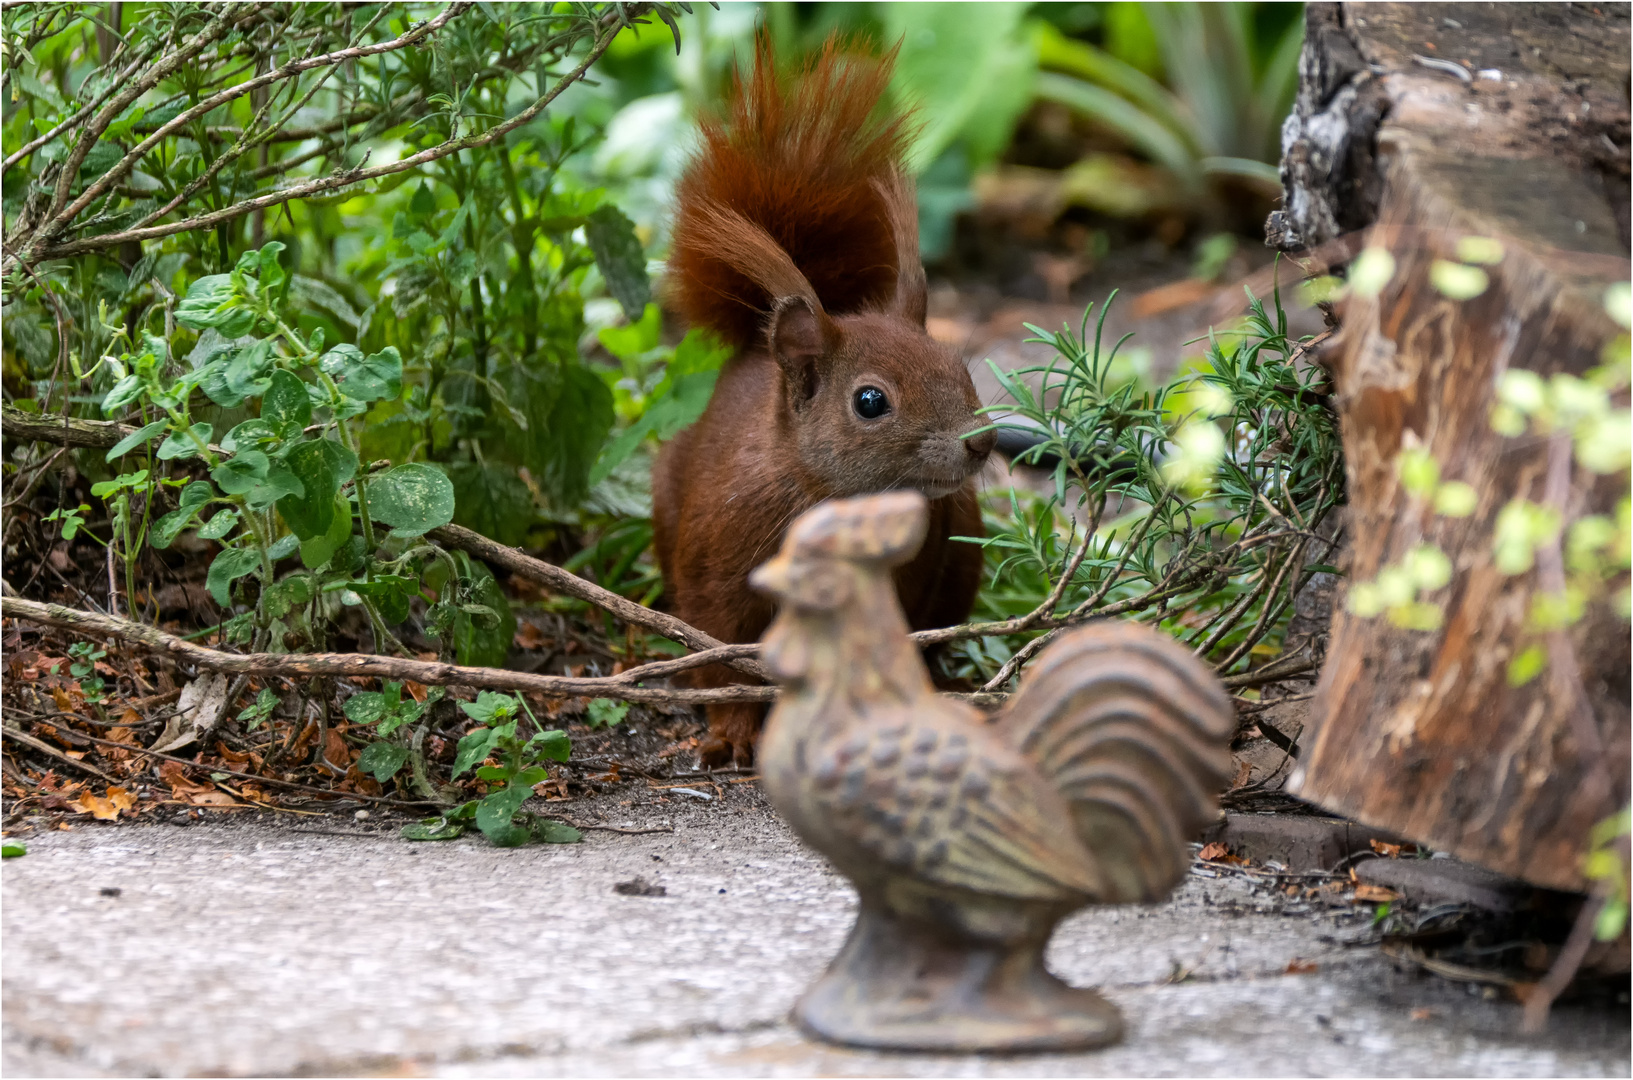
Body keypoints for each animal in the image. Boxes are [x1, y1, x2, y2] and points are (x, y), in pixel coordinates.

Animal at [649, 37, 992, 767]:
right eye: (870, 401)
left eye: (961, 368)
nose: (981, 442)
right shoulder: (718, 574)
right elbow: (723, 653)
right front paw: (729, 733)